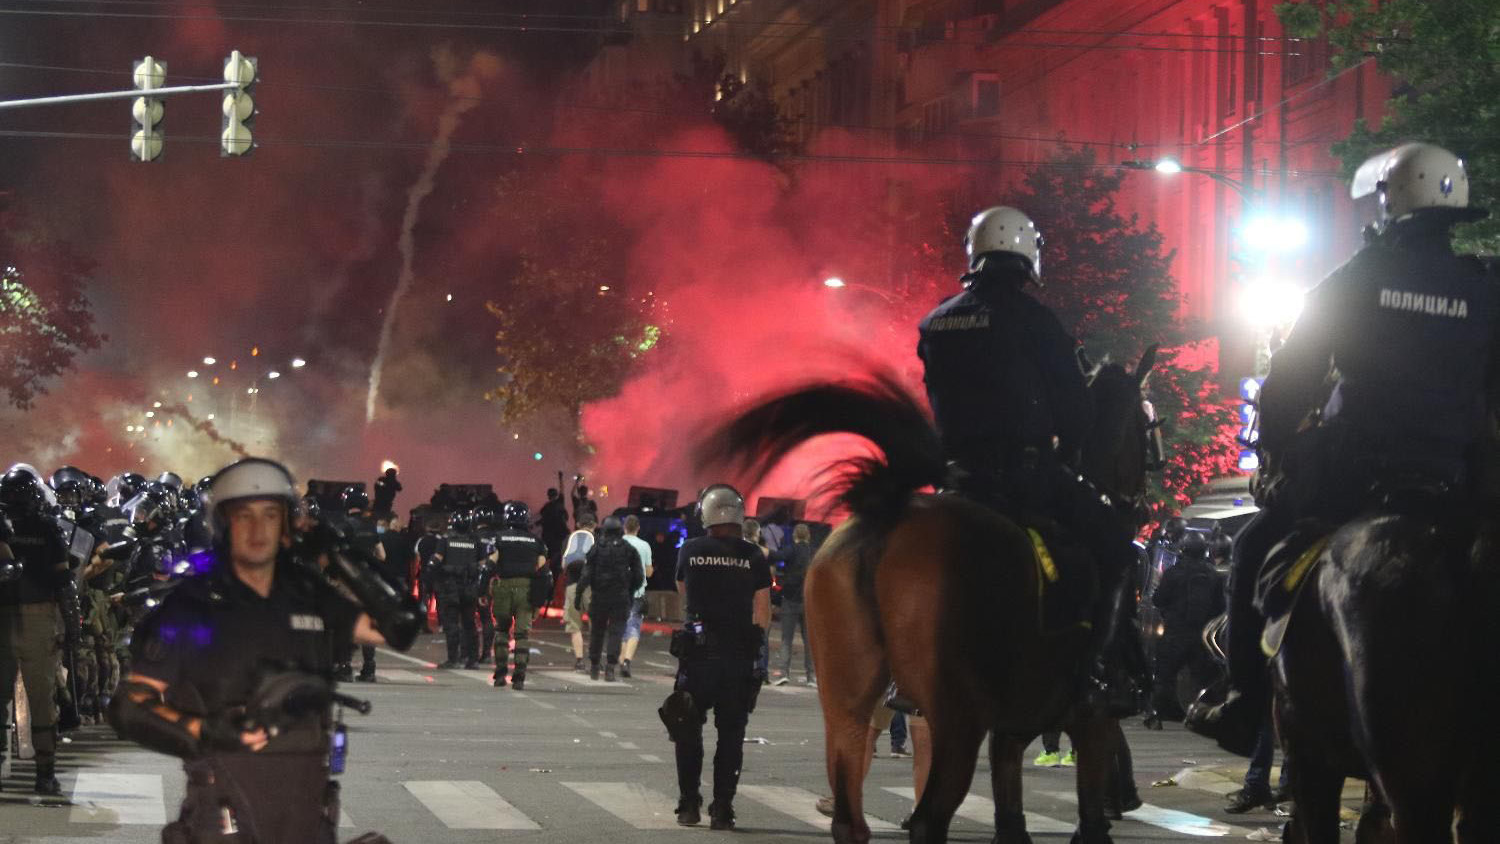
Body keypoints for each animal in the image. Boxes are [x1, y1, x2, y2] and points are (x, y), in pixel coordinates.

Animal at [696, 350, 1152, 844]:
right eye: (1149, 424)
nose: (1142, 507)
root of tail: (887, 513)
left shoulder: (1010, 734)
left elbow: (1011, 821)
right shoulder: (1091, 724)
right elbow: (1087, 821)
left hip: (848, 708)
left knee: (851, 815)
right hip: (959, 721)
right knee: (927, 820)